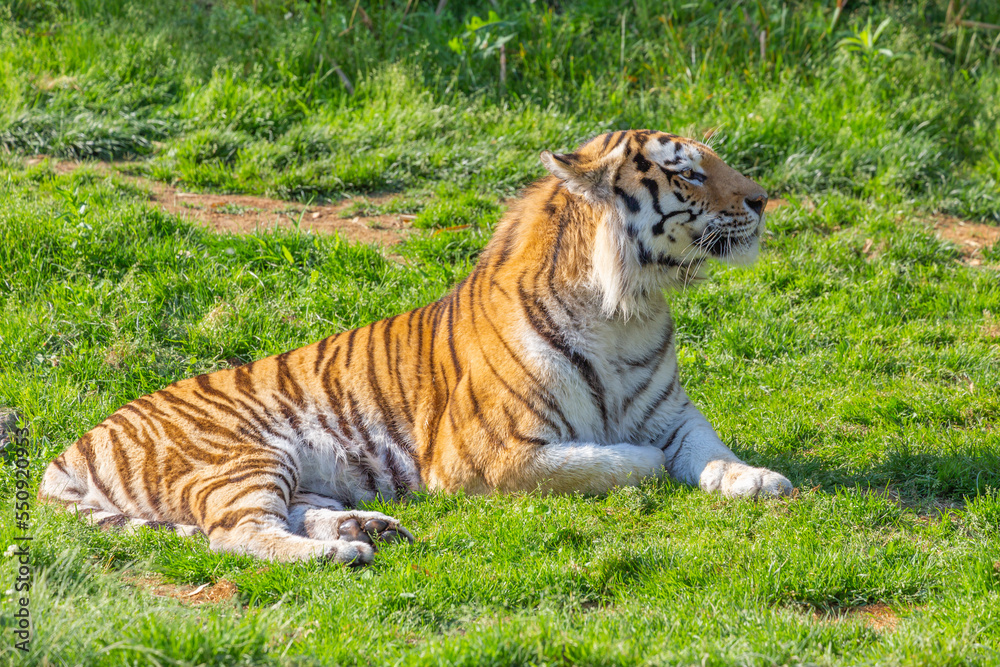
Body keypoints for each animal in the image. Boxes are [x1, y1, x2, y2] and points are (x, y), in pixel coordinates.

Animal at [39, 129, 793, 564]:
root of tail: (70, 448)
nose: (762, 200)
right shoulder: (495, 454)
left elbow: (710, 452)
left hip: (294, 471)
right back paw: (339, 555)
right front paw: (645, 465)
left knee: (294, 512)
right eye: (688, 173)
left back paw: (370, 529)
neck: (627, 309)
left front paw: (760, 480)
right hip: (240, 455)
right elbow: (619, 462)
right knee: (235, 532)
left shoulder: (674, 415)